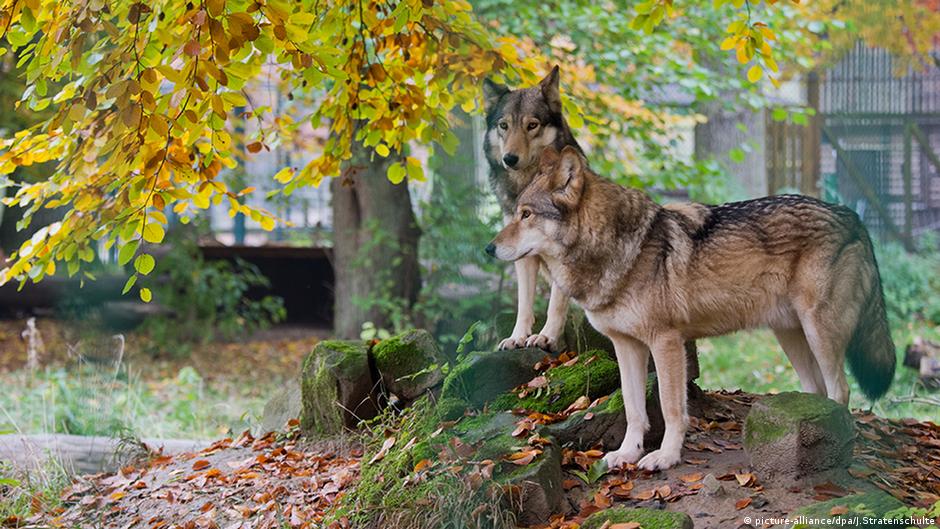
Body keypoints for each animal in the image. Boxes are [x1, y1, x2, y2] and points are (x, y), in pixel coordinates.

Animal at [482, 66, 585, 351]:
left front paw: (546, 336)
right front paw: (517, 337)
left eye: (532, 125)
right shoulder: (521, 251)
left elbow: (555, 304)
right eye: (504, 125)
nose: (509, 158)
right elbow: (524, 302)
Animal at [486, 146, 896, 470]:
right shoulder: (626, 346)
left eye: (526, 214)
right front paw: (627, 454)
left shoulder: (666, 342)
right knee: (818, 390)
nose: (489, 249)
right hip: (791, 337)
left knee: (841, 390)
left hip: (818, 331)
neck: (620, 248)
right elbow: (633, 408)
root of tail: (853, 216)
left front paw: (665, 458)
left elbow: (671, 409)